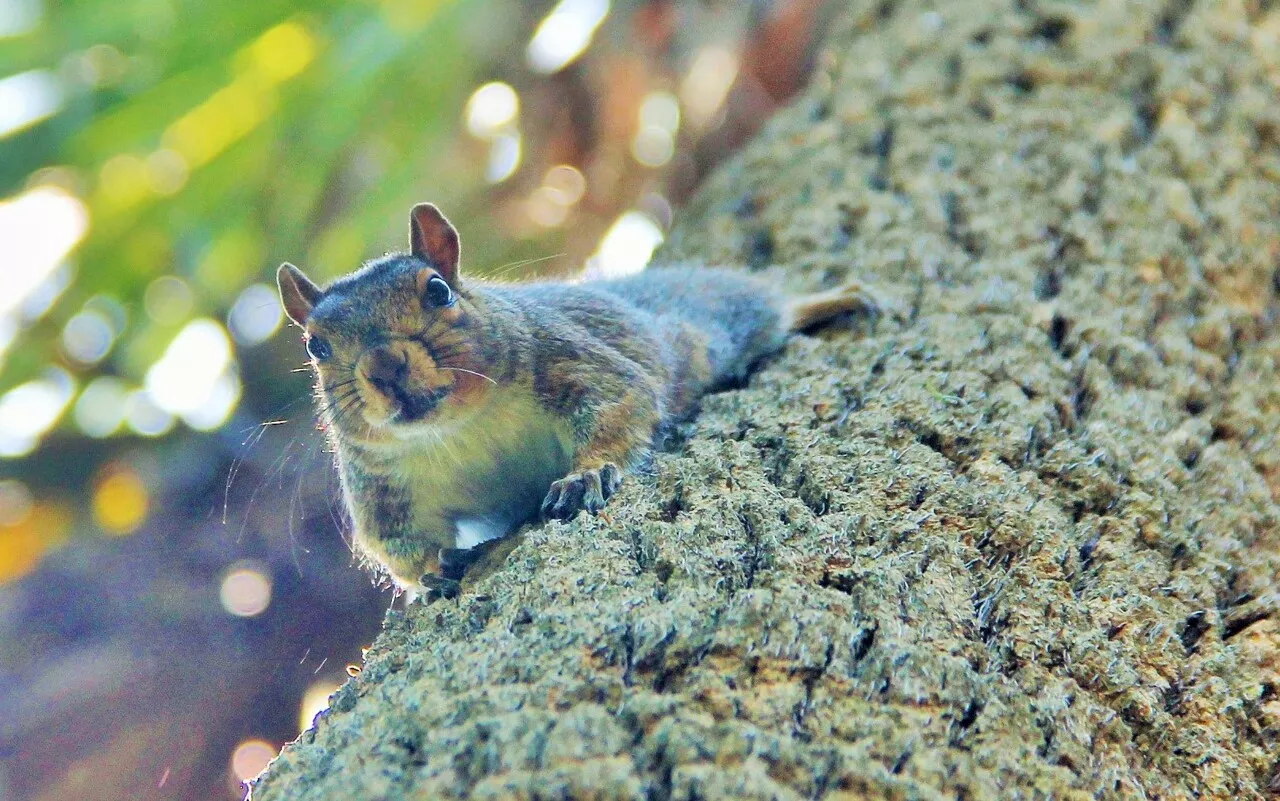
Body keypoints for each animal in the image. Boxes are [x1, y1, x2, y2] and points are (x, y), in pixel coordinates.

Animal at [277, 202, 880, 596]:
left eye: (438, 290)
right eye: (315, 345)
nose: (383, 366)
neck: (459, 427)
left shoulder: (570, 362)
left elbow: (620, 405)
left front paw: (585, 476)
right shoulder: (379, 486)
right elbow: (392, 542)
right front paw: (430, 571)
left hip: (714, 318)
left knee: (766, 308)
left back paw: (832, 300)